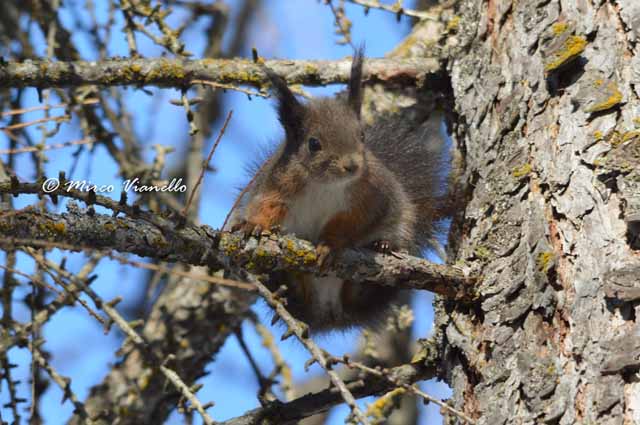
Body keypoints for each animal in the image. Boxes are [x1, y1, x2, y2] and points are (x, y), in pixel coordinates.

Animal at [225, 48, 447, 332]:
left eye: (362, 135)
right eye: (313, 144)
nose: (352, 165)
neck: (325, 184)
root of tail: (329, 308)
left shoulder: (370, 197)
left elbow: (350, 223)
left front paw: (329, 246)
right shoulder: (277, 185)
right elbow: (266, 206)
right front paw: (256, 224)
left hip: (399, 225)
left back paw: (382, 245)